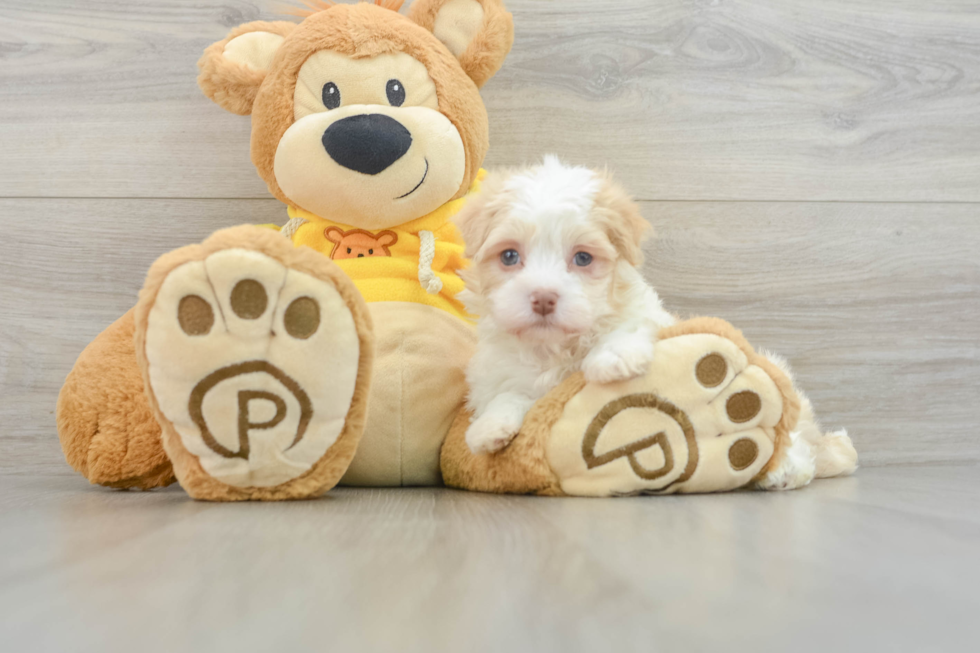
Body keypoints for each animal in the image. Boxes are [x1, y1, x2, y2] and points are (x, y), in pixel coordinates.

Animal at [456, 154, 852, 488]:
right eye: (509, 256)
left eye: (583, 258)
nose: (543, 297)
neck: (555, 348)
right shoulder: (502, 372)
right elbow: (508, 394)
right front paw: (488, 427)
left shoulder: (648, 317)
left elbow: (628, 326)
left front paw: (611, 359)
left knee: (792, 436)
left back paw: (786, 469)